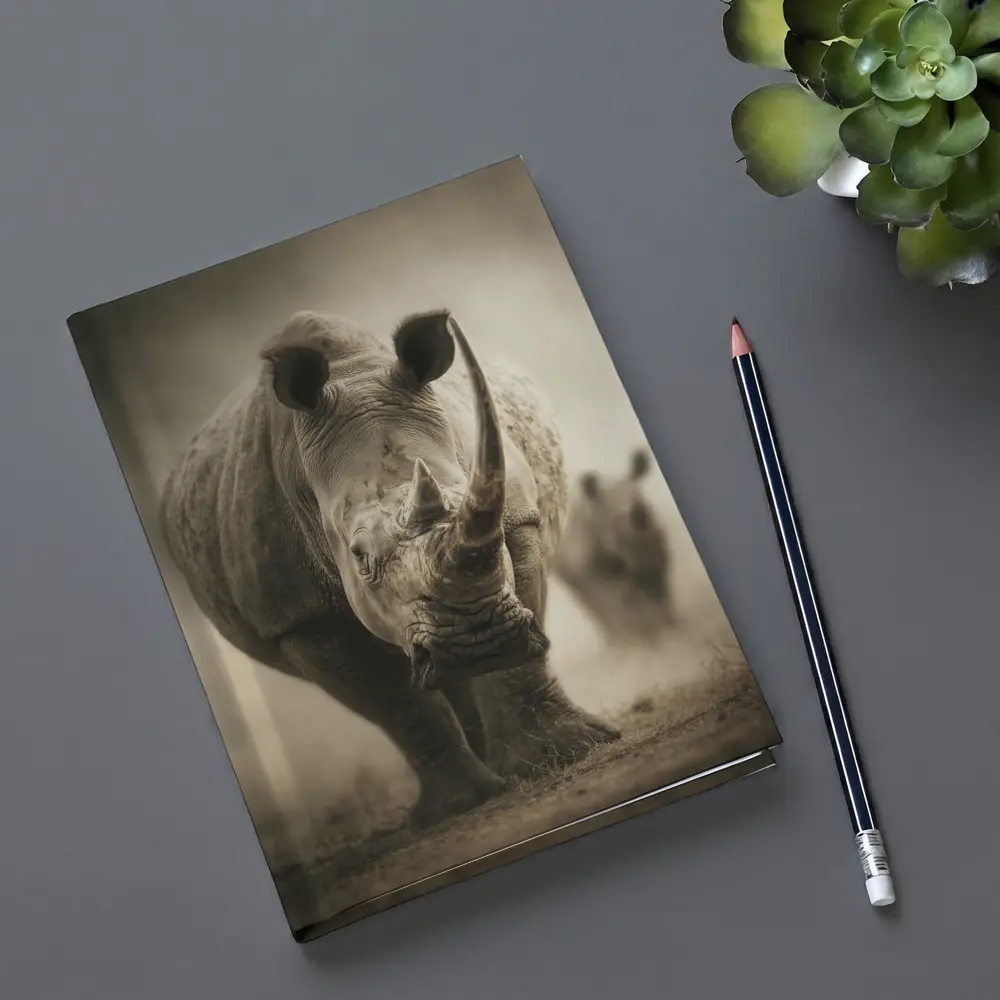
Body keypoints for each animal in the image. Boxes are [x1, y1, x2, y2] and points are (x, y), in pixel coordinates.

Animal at [160, 310, 620, 830]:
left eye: (477, 501)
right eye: (358, 556)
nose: (478, 641)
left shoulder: (515, 517)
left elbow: (520, 644)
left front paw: (563, 756)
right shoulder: (297, 614)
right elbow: (398, 702)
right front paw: (455, 809)